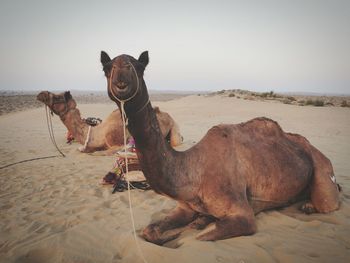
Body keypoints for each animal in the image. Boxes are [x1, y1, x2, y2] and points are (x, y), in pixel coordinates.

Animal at [36, 91, 182, 155]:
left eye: (57, 97)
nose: (41, 94)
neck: (98, 132)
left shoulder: (118, 143)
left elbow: (100, 153)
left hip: (174, 126)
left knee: (175, 142)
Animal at [100, 51, 340, 245]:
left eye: (139, 67)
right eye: (107, 67)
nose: (121, 83)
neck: (191, 173)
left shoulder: (243, 215)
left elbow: (199, 237)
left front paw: (190, 228)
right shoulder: (185, 206)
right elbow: (149, 230)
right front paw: (178, 229)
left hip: (322, 169)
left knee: (328, 202)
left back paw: (310, 206)